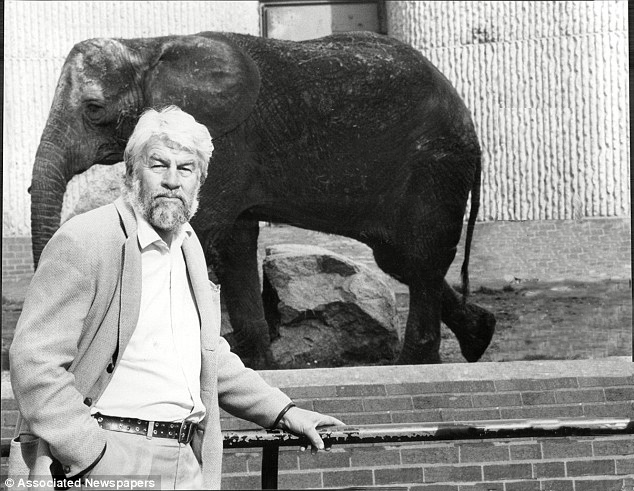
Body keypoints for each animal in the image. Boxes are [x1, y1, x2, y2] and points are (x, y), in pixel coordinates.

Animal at [28, 30, 494, 368]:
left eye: (93, 110)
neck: (148, 48)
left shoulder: (224, 142)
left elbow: (205, 233)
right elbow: (235, 244)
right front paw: (259, 366)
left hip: (435, 166)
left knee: (421, 258)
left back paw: (415, 364)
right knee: (402, 260)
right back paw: (479, 336)